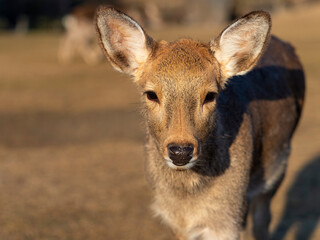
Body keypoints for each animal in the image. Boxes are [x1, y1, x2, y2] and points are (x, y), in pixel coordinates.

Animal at [94, 6, 304, 240]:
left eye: (210, 95)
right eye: (151, 94)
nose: (180, 151)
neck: (188, 204)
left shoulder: (226, 221)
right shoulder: (174, 222)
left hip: (277, 169)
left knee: (262, 219)